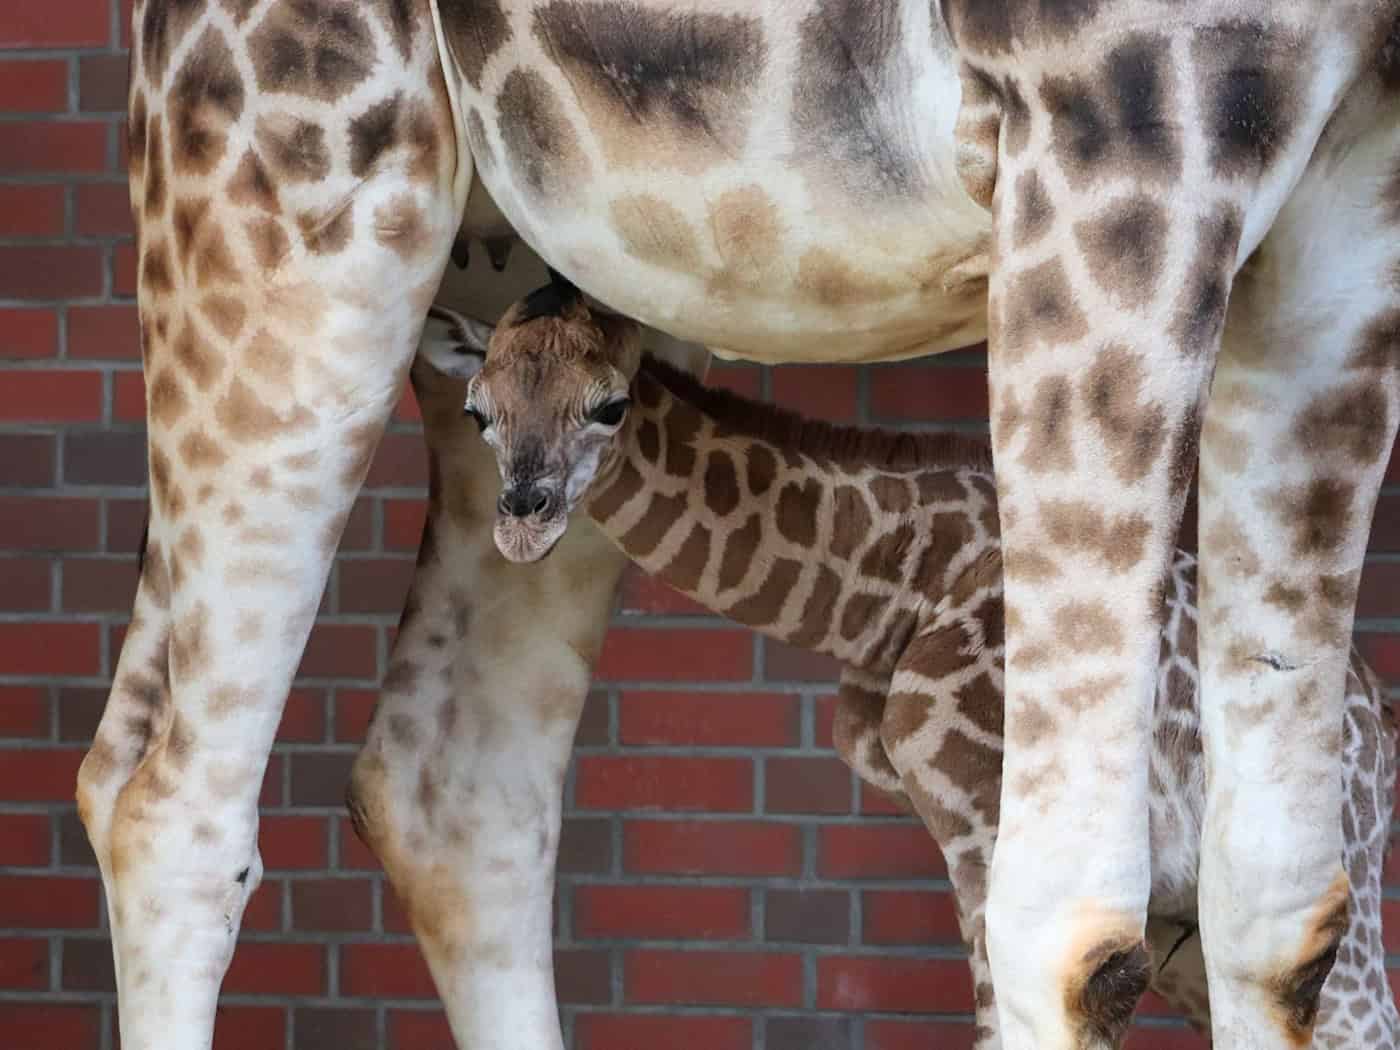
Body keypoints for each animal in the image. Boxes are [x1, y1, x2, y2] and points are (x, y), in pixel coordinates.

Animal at [414, 284, 1400, 1049]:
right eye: (476, 411)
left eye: (611, 405)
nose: (522, 521)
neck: (891, 592)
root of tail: (1379, 721)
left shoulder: (982, 816)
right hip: (1187, 919)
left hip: (1319, 875)